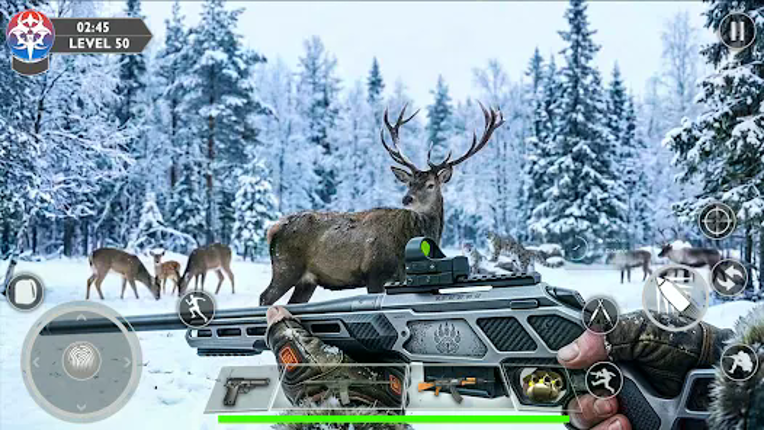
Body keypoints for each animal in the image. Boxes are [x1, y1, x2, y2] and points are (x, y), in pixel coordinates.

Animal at [259, 103, 505, 305]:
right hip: (285, 267)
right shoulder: (375, 273)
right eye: (410, 183)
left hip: (307, 280)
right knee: (264, 297)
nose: (407, 199)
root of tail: (273, 229)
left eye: (430, 185)